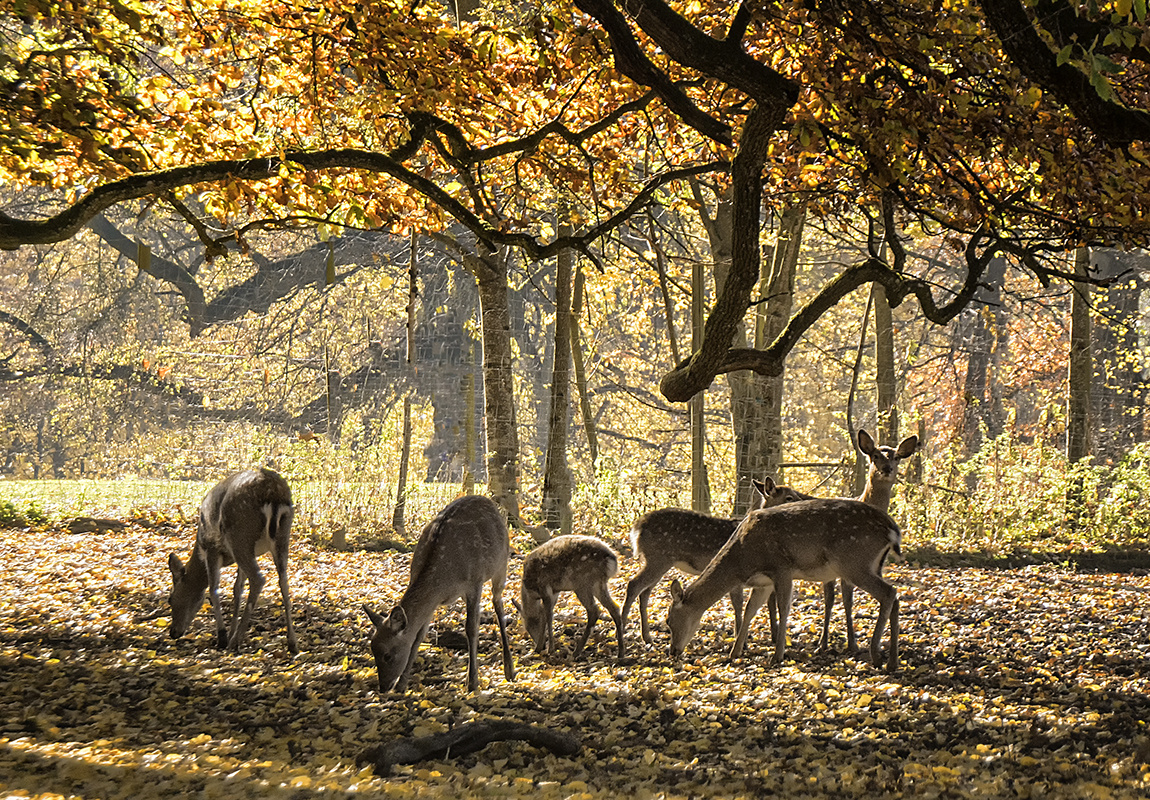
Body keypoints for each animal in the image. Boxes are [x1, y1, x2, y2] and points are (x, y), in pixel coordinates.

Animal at [167, 466, 301, 652]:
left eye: (170, 599)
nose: (173, 632)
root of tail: (274, 492)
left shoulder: (212, 548)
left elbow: (213, 589)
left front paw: (223, 636)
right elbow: (237, 588)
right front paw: (230, 632)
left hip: (239, 534)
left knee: (258, 579)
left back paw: (235, 641)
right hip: (282, 536)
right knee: (284, 583)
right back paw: (292, 642)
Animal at [363, 494, 517, 694]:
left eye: (387, 655)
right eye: (372, 649)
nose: (383, 687)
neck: (443, 580)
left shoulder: (474, 582)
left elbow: (471, 628)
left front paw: (473, 682)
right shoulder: (433, 603)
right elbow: (419, 636)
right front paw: (402, 685)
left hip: (501, 563)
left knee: (498, 603)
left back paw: (509, 669)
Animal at [621, 475, 809, 643]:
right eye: (789, 497)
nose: (802, 502)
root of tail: (637, 527)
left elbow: (767, 602)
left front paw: (772, 637)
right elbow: (739, 604)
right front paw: (742, 639)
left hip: (659, 561)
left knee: (644, 591)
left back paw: (647, 637)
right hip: (658, 558)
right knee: (634, 585)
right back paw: (623, 630)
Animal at [671, 496, 901, 671]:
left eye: (669, 620)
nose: (673, 651)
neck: (742, 561)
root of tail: (892, 530)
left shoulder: (781, 568)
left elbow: (783, 608)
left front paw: (778, 655)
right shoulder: (763, 583)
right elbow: (750, 610)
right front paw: (734, 652)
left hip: (853, 561)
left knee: (888, 592)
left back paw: (876, 655)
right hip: (874, 565)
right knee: (895, 596)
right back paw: (892, 661)